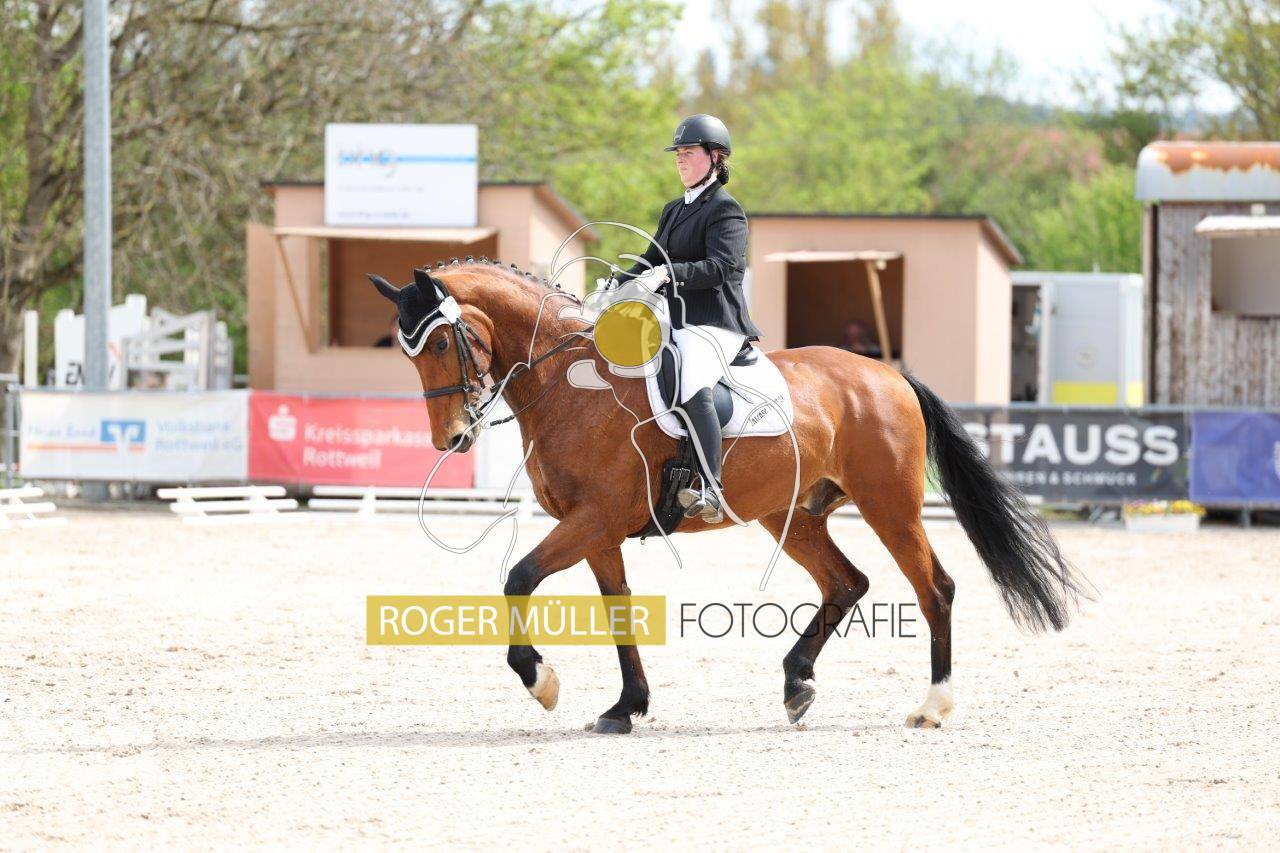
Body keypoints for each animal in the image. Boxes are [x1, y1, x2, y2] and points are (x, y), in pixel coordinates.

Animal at [369, 260, 1091, 734]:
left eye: (441, 340)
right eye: (407, 353)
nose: (452, 437)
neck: (568, 383)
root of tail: (887, 373)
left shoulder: (595, 517)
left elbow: (518, 576)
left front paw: (540, 680)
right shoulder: (597, 529)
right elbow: (618, 610)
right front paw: (626, 706)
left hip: (889, 505)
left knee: (933, 587)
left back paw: (932, 704)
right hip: (790, 515)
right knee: (846, 582)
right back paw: (797, 683)